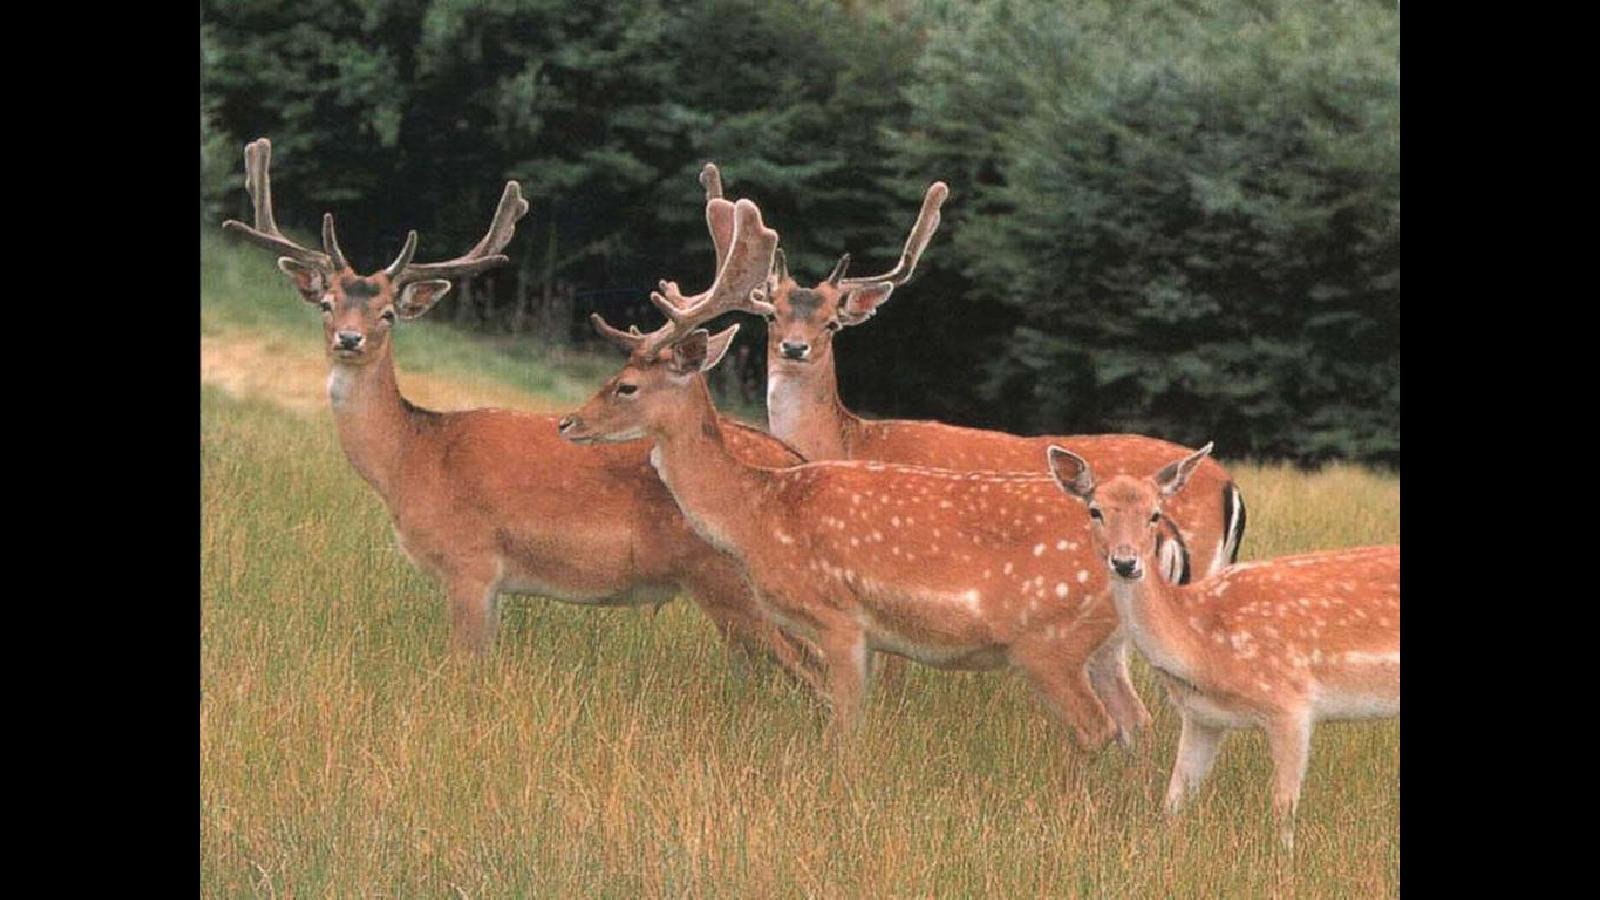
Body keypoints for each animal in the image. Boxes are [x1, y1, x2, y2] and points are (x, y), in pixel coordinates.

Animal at [219, 136, 825, 685]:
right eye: (326, 304)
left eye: (388, 313)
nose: (349, 339)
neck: (412, 457)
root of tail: (793, 461)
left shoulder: (470, 561)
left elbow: (464, 665)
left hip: (734, 585)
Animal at [563, 196, 1164, 749]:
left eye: (626, 386)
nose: (569, 422)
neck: (758, 509)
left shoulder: (841, 620)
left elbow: (844, 726)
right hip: (1105, 648)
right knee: (1136, 721)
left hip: (1048, 643)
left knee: (1100, 728)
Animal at [1043, 441, 1395, 845]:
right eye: (1095, 510)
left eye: (1155, 514)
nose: (1126, 562)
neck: (1202, 644)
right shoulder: (1202, 718)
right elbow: (1173, 801)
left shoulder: (1291, 701)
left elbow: (1282, 809)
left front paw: (1284, 859)